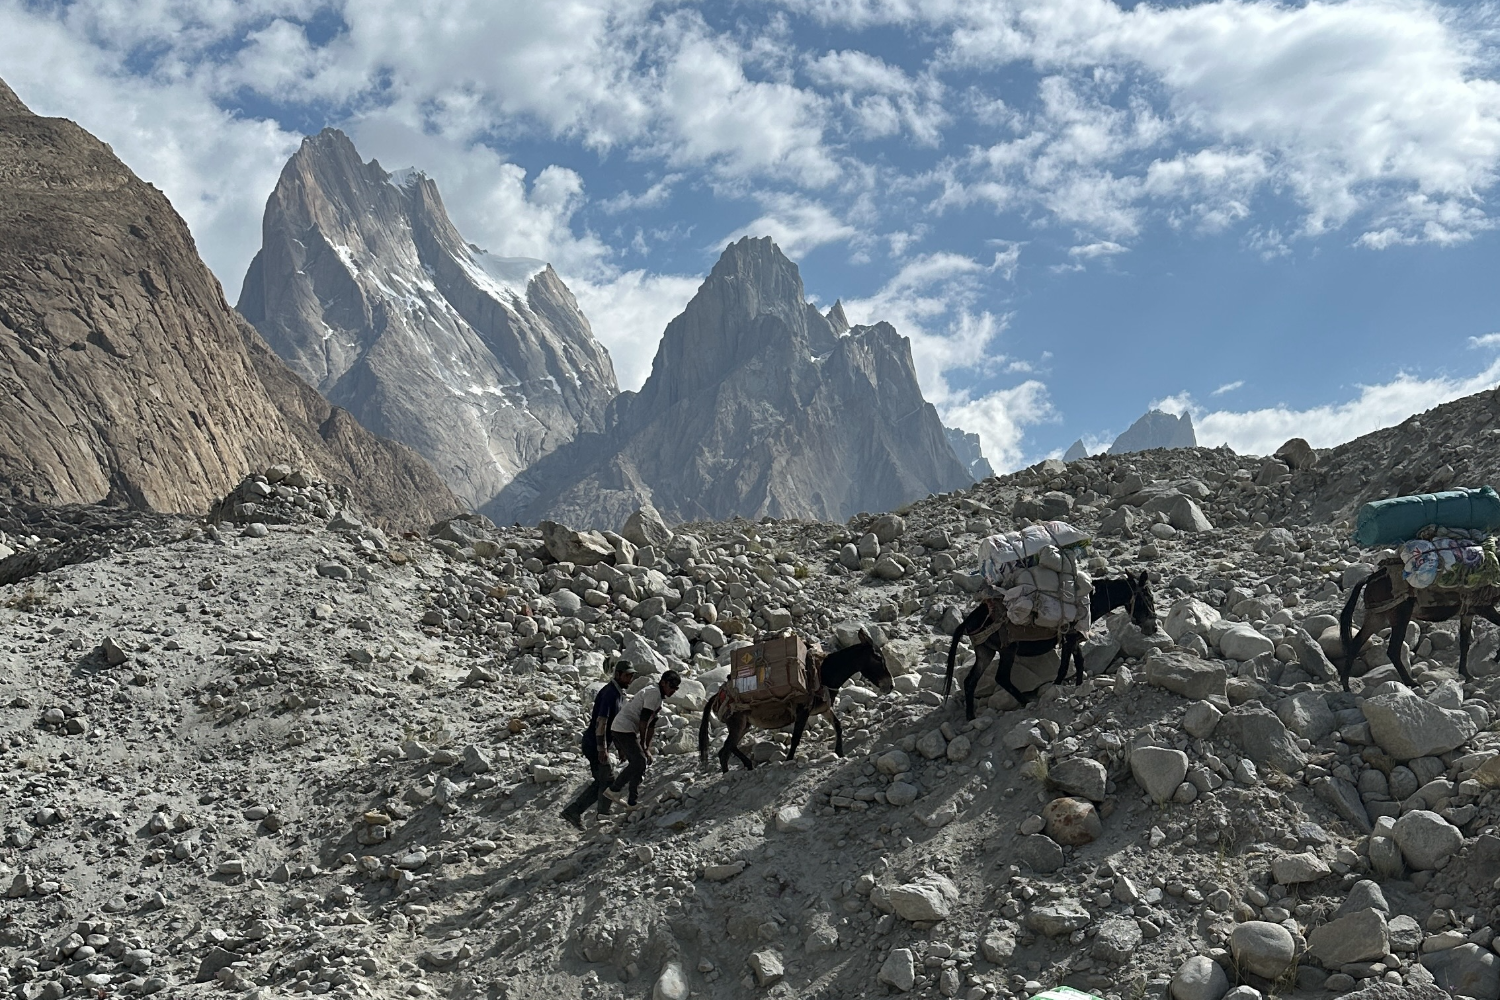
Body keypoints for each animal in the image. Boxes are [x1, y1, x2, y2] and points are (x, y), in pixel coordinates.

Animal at [698, 635, 894, 773]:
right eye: (878, 658)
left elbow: (838, 726)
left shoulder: (824, 708)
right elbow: (796, 738)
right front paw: (789, 760)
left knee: (726, 749)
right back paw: (733, 771)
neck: (823, 672)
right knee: (726, 749)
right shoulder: (803, 710)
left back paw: (742, 767)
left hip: (744, 725)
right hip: (737, 723)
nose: (891, 686)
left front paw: (839, 752)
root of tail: (717, 696)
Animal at [944, 571, 1157, 721]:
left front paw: (1078, 688)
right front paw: (1056, 690)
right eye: (1149, 598)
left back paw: (970, 717)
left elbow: (1079, 663)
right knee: (1001, 677)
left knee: (970, 681)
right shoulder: (1069, 639)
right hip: (1007, 649)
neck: (1090, 600)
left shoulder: (1073, 640)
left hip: (985, 651)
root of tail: (969, 619)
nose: (1154, 628)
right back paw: (1026, 702)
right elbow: (1063, 668)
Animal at [1339, 565, 1500, 691]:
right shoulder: (1483, 607)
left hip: (1376, 617)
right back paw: (1411, 682)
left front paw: (1467, 674)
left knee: (1355, 644)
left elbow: (1464, 644)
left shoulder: (1468, 613)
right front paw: (1495, 657)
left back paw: (1346, 686)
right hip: (1400, 616)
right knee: (1393, 650)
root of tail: (1371, 577)